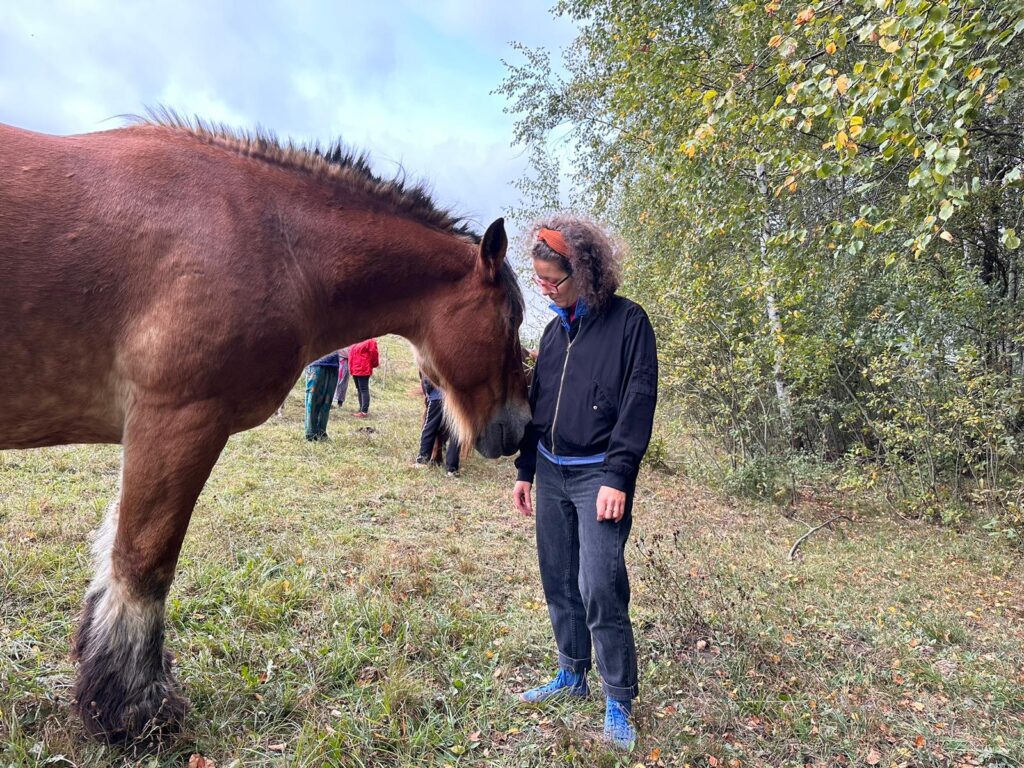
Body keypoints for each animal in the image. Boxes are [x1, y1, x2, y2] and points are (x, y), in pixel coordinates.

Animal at [0, 113, 531, 742]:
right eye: (512, 317)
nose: (521, 427)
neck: (275, 239)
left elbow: (114, 557)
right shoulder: (176, 420)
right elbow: (142, 564)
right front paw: (133, 710)